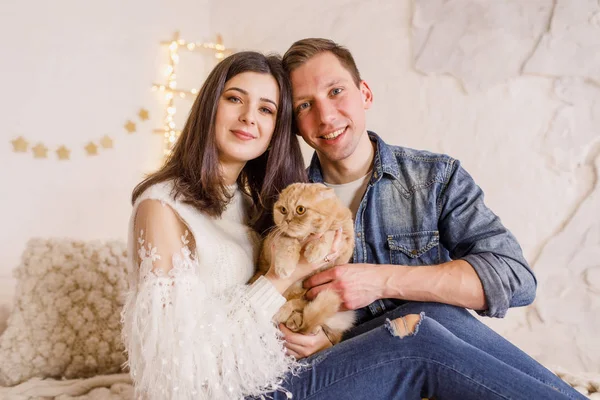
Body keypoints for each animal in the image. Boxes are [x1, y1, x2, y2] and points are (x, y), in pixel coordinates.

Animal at [252, 183, 356, 342]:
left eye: (300, 210)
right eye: (283, 210)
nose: (287, 220)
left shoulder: (345, 244)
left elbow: (329, 233)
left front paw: (315, 250)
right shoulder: (276, 237)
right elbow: (288, 242)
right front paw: (284, 268)